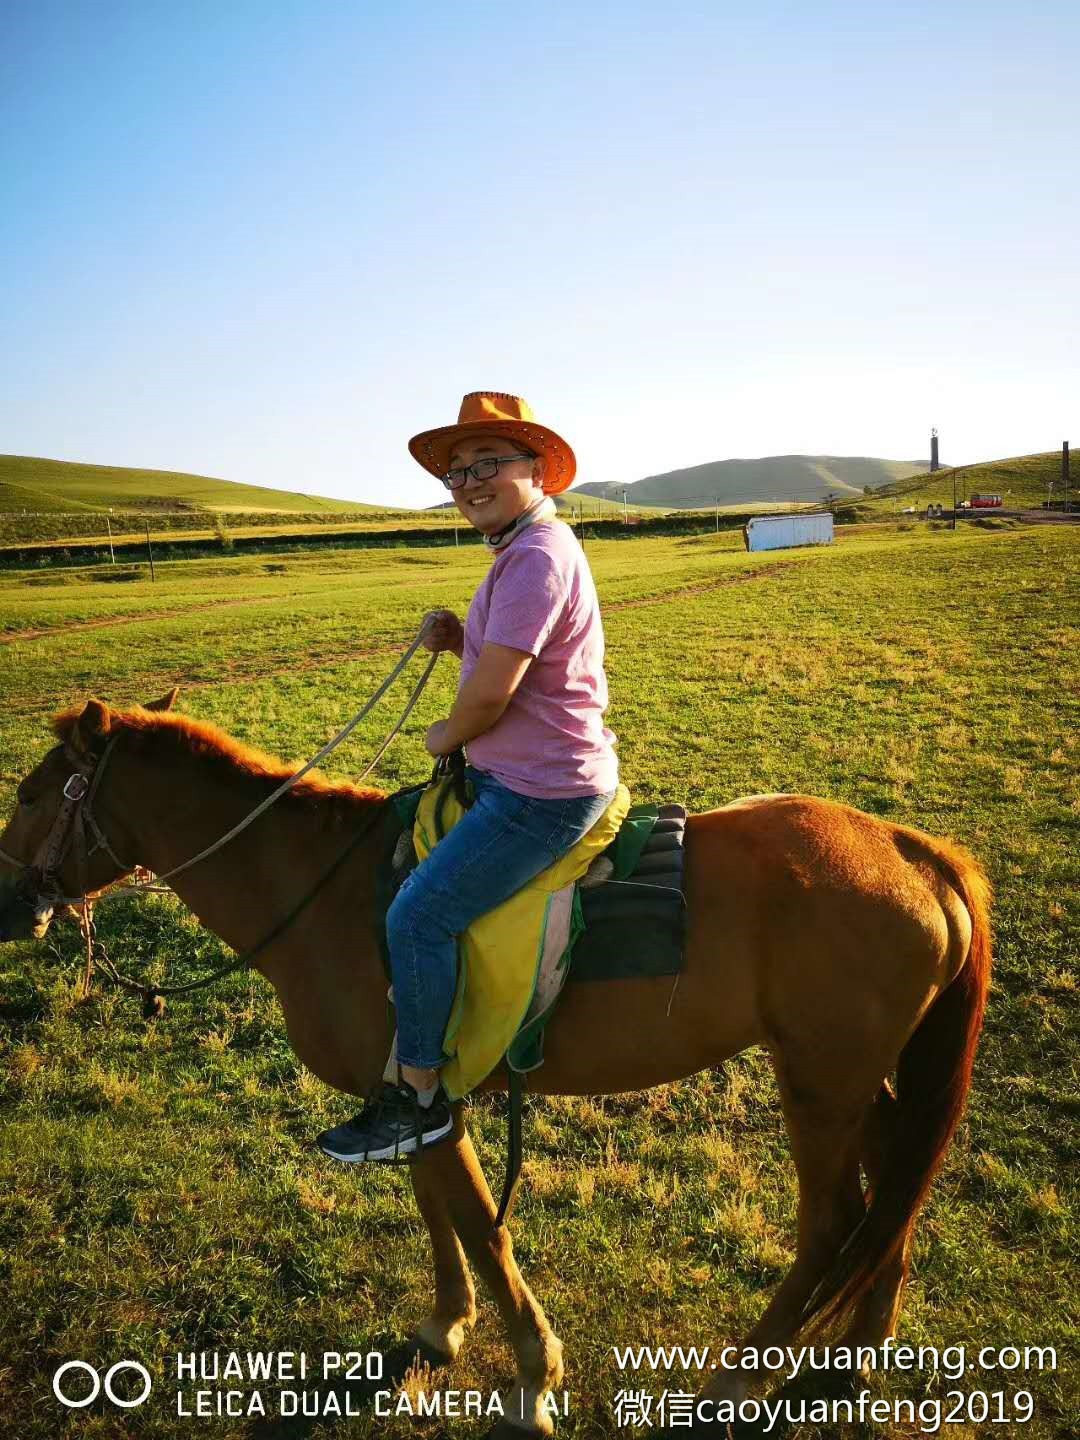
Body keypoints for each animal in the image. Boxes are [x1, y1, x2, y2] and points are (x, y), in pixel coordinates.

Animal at [0, 691, 996, 1434]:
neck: (319, 888)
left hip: (820, 1087)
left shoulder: (428, 1097)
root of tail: (912, 849)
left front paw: (531, 1377)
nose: (8, 900)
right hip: (871, 1084)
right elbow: (437, 1211)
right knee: (891, 1213)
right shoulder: (407, 1098)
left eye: (32, 793)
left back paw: (741, 1378)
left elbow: (482, 1225)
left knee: (834, 1226)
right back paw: (852, 1361)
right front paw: (446, 1326)